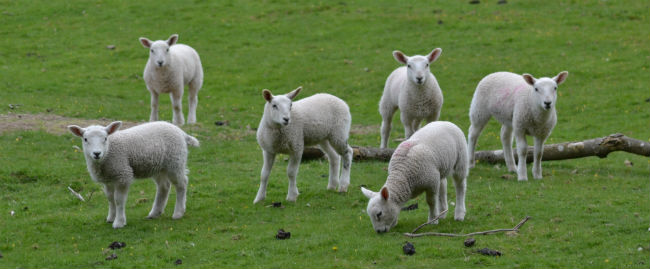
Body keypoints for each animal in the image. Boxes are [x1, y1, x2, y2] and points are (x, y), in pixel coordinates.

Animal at [67, 120, 200, 227]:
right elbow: (110, 198)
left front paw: (119, 222)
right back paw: (155, 213)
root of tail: (181, 132)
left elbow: (118, 200)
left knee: (182, 184)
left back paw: (178, 213)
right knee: (164, 186)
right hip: (159, 166)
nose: (97, 153)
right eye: (85, 139)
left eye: (105, 138)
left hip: (175, 161)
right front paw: (111, 218)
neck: (108, 152)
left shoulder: (123, 174)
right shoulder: (108, 179)